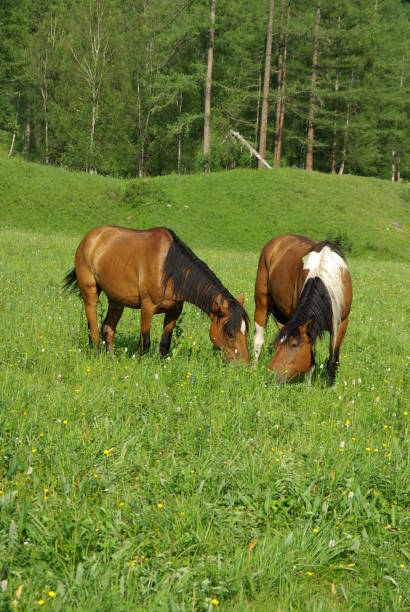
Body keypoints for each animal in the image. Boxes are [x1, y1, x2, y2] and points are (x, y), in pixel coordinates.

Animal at [64, 228, 250, 364]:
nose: (244, 365)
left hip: (116, 301)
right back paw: (96, 355)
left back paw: (110, 358)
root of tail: (91, 237)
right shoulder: (147, 308)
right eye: (230, 334)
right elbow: (145, 342)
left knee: (107, 330)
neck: (169, 269)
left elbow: (165, 343)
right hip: (90, 293)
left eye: (246, 331)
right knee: (94, 329)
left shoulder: (174, 312)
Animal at [253, 233, 352, 382]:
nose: (272, 374)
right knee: (258, 339)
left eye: (294, 345)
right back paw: (252, 368)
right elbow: (311, 359)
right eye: (277, 346)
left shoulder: (341, 323)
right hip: (261, 303)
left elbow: (333, 360)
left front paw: (330, 385)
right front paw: (307, 384)